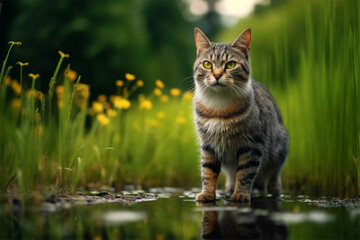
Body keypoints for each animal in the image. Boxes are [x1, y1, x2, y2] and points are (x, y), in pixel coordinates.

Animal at [193, 27, 288, 202]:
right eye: (207, 64)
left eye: (230, 64)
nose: (217, 75)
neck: (219, 105)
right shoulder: (209, 145)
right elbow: (208, 171)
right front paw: (207, 194)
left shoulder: (252, 145)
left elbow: (245, 172)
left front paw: (241, 194)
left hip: (277, 158)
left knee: (273, 181)